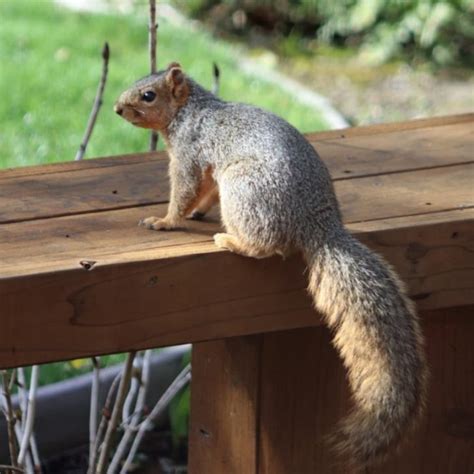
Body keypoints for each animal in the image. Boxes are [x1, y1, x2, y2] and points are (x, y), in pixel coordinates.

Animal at [115, 63, 430, 470]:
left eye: (148, 95)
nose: (118, 109)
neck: (191, 110)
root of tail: (317, 224)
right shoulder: (208, 170)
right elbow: (203, 193)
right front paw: (197, 213)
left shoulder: (189, 152)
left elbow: (183, 191)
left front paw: (165, 221)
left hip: (244, 191)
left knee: (266, 246)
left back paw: (232, 241)